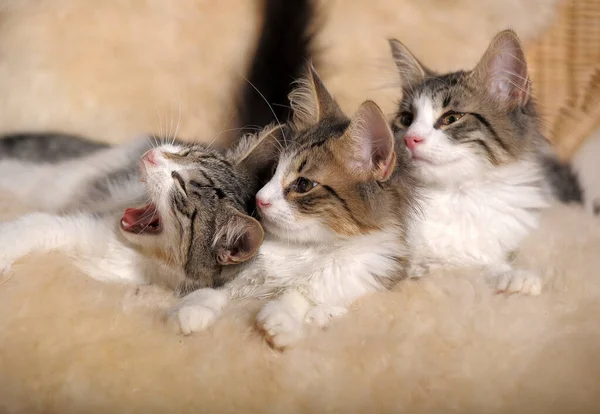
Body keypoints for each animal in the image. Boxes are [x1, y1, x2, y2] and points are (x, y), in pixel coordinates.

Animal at [169, 65, 418, 350]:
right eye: (272, 172)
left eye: (303, 184)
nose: (259, 199)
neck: (305, 248)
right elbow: (220, 291)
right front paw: (193, 308)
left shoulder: (361, 278)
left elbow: (301, 294)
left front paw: (283, 317)